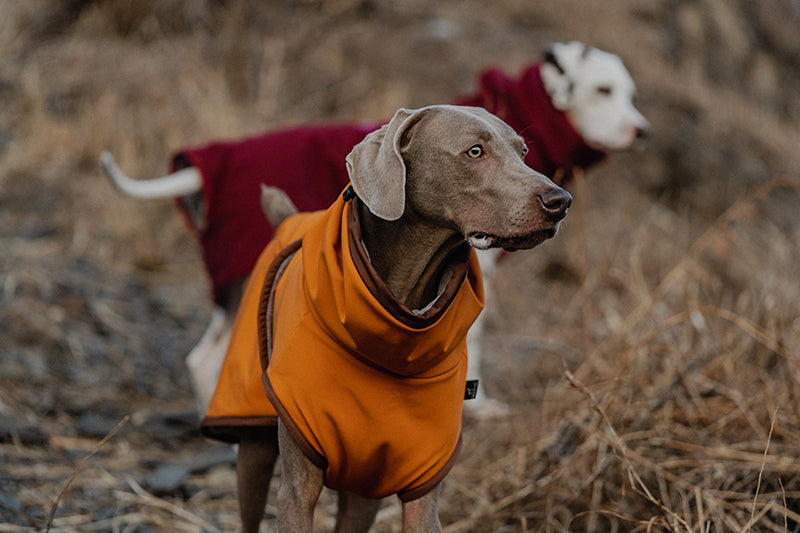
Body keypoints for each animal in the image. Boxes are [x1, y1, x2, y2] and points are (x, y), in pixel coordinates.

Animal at [220, 105, 568, 532]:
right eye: (474, 151)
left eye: (523, 152)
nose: (561, 200)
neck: (397, 312)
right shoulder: (297, 491)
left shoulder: (422, 481)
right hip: (253, 448)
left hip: (364, 487)